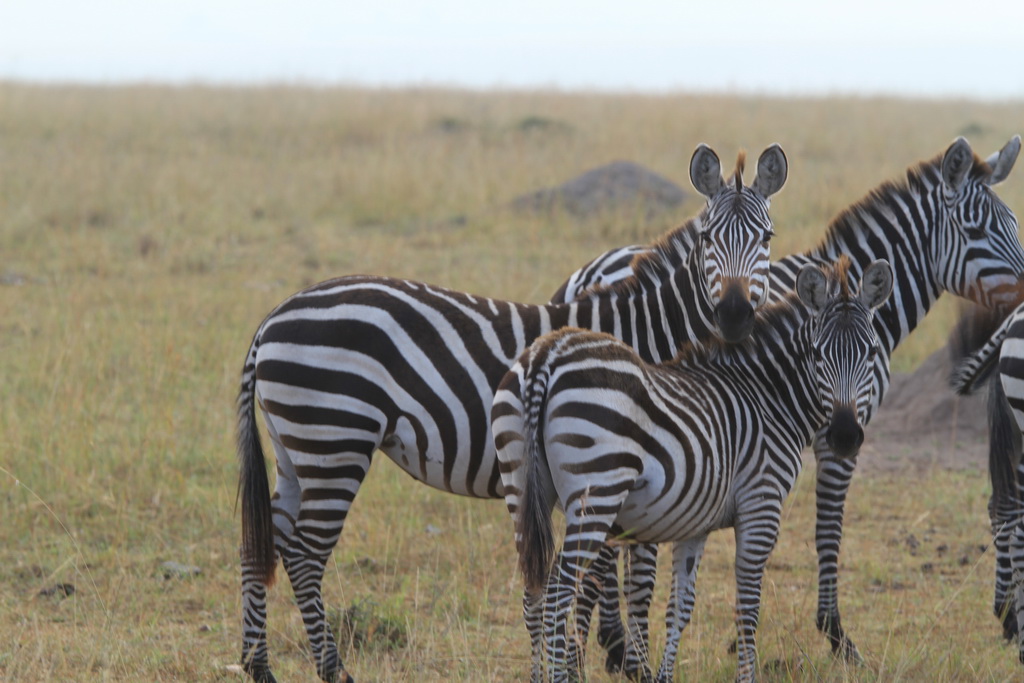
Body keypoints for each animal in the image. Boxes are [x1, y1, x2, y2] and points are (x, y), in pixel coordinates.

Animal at [235, 144, 786, 683]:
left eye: (767, 237)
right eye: (710, 239)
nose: (734, 315)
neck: (646, 333)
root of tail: (272, 318)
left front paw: (594, 658)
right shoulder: (634, 460)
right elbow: (634, 578)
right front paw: (626, 663)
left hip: (295, 448)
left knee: (266, 538)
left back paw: (258, 664)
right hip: (336, 439)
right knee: (305, 554)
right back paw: (332, 669)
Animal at [495, 259, 897, 679]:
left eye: (871, 352)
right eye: (818, 354)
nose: (845, 436)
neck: (768, 399)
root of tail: (546, 356)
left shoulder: (696, 523)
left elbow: (679, 608)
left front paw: (663, 676)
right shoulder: (761, 506)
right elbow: (747, 605)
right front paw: (746, 676)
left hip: (523, 489)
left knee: (534, 590)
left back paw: (538, 676)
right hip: (597, 496)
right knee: (558, 590)